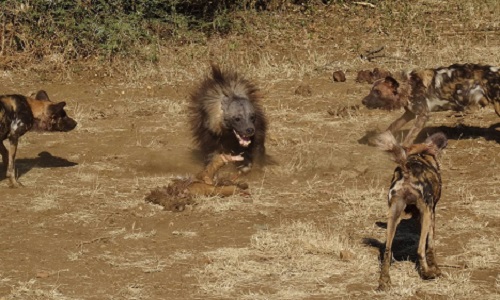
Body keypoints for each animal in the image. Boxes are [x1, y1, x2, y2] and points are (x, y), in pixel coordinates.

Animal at [364, 63, 500, 146]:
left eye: (377, 92)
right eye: (371, 90)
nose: (363, 101)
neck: (409, 85)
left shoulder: (422, 115)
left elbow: (409, 137)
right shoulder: (410, 113)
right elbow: (393, 125)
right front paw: (377, 139)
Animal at [374, 131, 448, 290]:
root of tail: (407, 172)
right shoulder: (431, 213)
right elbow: (430, 245)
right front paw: (435, 268)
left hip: (393, 216)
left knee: (387, 251)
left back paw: (384, 281)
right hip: (426, 213)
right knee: (420, 250)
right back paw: (429, 273)